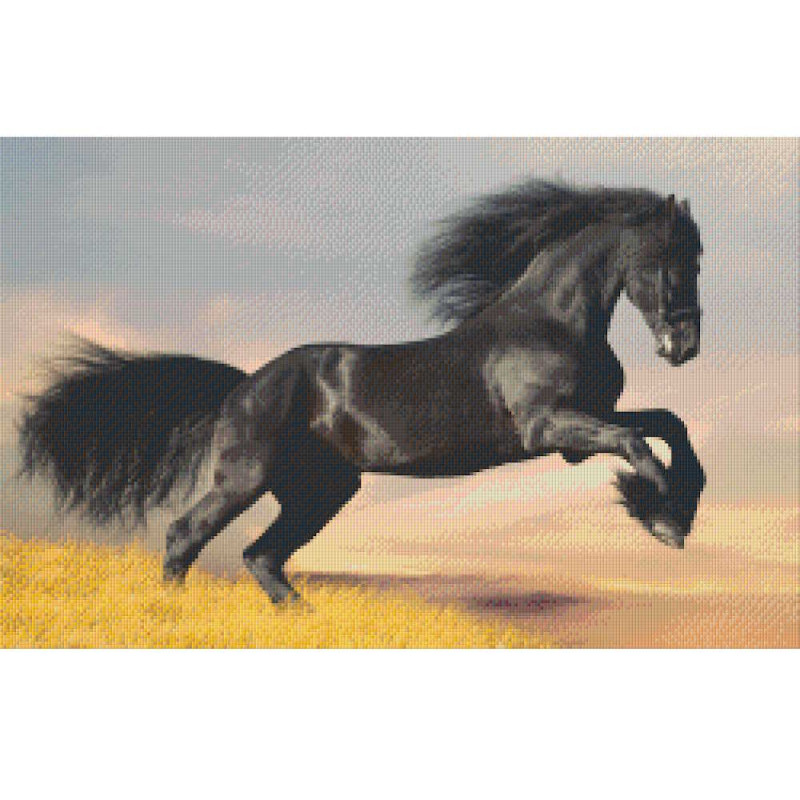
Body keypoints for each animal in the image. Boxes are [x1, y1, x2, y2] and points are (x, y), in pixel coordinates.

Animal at [18, 180, 706, 603]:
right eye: (672, 258)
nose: (685, 346)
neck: (550, 321)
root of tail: (244, 385)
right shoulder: (549, 428)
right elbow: (638, 443)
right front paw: (664, 519)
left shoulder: (582, 425)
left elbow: (667, 423)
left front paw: (670, 510)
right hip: (246, 478)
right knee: (187, 536)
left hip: (321, 491)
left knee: (261, 556)